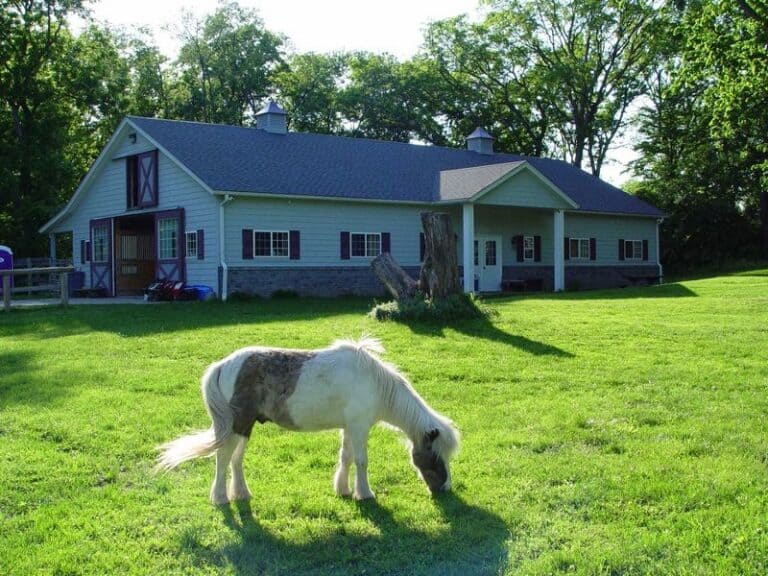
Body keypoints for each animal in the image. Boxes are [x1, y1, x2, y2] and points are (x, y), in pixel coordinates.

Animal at [155, 337, 460, 504]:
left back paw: (241, 494)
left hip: (244, 427)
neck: (372, 382)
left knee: (235, 460)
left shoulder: (349, 427)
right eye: (436, 456)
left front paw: (343, 490)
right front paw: (364, 493)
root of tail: (223, 365)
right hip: (237, 425)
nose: (445, 488)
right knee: (222, 458)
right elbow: (361, 461)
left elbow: (346, 457)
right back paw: (220, 498)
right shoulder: (359, 427)